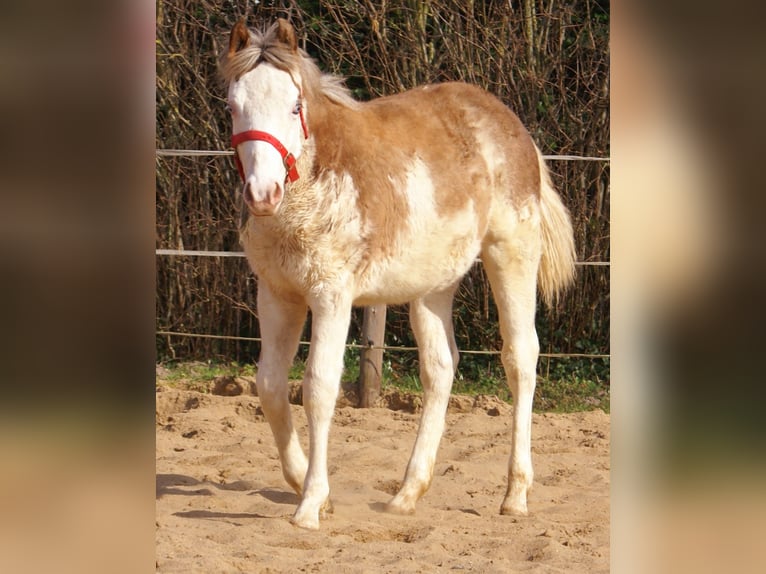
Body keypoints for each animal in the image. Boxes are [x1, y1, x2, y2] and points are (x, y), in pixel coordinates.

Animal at [219, 18, 576, 530]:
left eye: (294, 106)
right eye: (232, 107)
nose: (262, 194)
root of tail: (511, 125)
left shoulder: (331, 295)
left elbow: (319, 387)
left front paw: (310, 505)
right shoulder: (277, 294)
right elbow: (269, 386)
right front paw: (309, 487)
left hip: (511, 251)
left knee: (521, 357)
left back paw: (515, 495)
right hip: (434, 285)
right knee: (441, 368)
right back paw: (407, 493)